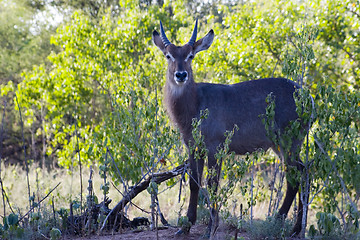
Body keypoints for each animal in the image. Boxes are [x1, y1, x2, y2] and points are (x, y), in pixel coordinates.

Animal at [153, 20, 310, 236]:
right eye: (168, 55)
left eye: (190, 55)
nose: (181, 75)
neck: (195, 103)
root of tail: (308, 97)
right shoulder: (193, 147)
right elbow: (194, 183)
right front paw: (186, 226)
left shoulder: (215, 147)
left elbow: (212, 184)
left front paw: (211, 227)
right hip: (279, 146)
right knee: (303, 172)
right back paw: (296, 227)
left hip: (289, 142)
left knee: (295, 176)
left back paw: (282, 223)